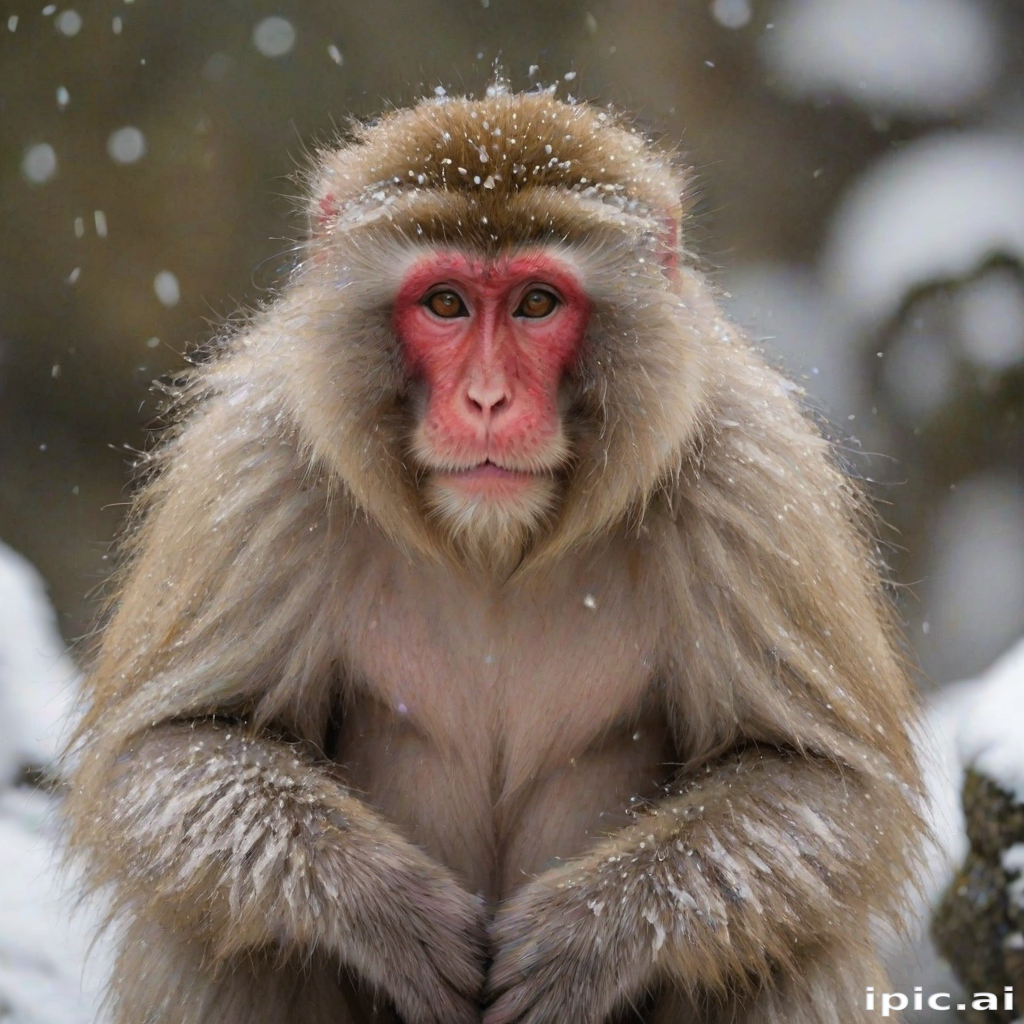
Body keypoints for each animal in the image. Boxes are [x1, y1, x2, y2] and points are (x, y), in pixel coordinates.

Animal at [63, 87, 925, 1024]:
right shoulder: (259, 473)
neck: (494, 546)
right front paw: (389, 909)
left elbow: (818, 782)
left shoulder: (750, 486)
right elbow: (172, 748)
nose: (485, 399)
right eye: (444, 303)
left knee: (787, 951)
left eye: (536, 304)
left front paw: (588, 938)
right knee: (213, 934)